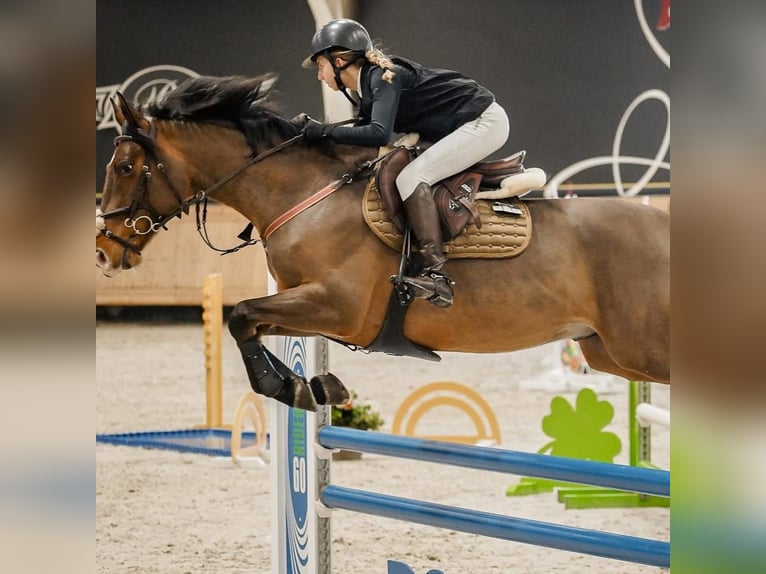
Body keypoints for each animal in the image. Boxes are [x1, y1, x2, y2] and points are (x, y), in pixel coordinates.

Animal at [96, 75, 670, 411]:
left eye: (123, 167)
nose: (104, 250)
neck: (307, 193)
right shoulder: (315, 307)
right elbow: (249, 321)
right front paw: (309, 387)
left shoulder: (339, 305)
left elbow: (239, 314)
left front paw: (294, 388)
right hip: (609, 353)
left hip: (641, 348)